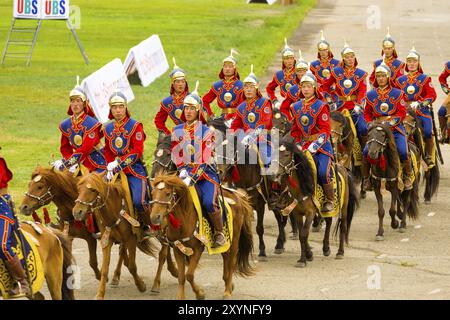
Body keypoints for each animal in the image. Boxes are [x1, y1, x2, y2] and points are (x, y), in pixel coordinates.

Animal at [72, 172, 160, 300]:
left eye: (93, 189)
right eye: (78, 189)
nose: (77, 212)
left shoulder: (131, 240)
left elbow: (132, 266)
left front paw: (141, 285)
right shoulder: (106, 241)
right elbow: (105, 269)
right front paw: (100, 294)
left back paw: (159, 282)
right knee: (122, 253)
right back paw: (115, 277)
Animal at [208, 115, 288, 260]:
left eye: (231, 150)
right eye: (216, 149)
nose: (219, 172)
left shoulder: (260, 204)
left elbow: (259, 228)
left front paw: (262, 251)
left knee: (282, 219)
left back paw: (280, 243)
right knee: (280, 218)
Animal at [272, 134, 356, 266]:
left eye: (286, 155)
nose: (273, 174)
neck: (302, 186)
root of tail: (343, 168)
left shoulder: (310, 212)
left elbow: (304, 233)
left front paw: (303, 259)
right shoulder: (297, 213)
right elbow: (302, 234)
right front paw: (307, 255)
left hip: (344, 207)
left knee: (343, 226)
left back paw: (340, 252)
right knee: (329, 222)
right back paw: (326, 248)